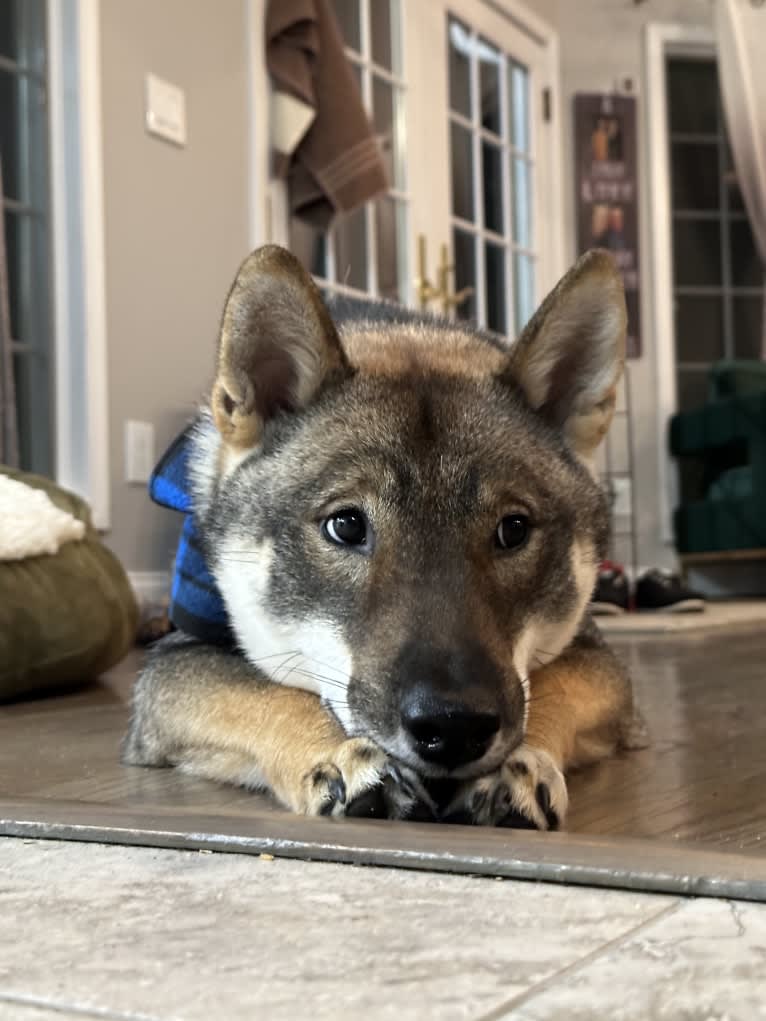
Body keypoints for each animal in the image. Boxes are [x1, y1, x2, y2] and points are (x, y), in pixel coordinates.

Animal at [124, 245, 649, 829]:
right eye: (346, 525)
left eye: (513, 529)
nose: (454, 726)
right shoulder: (175, 660)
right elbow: (264, 693)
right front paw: (340, 754)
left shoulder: (598, 658)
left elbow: (551, 688)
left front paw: (518, 764)